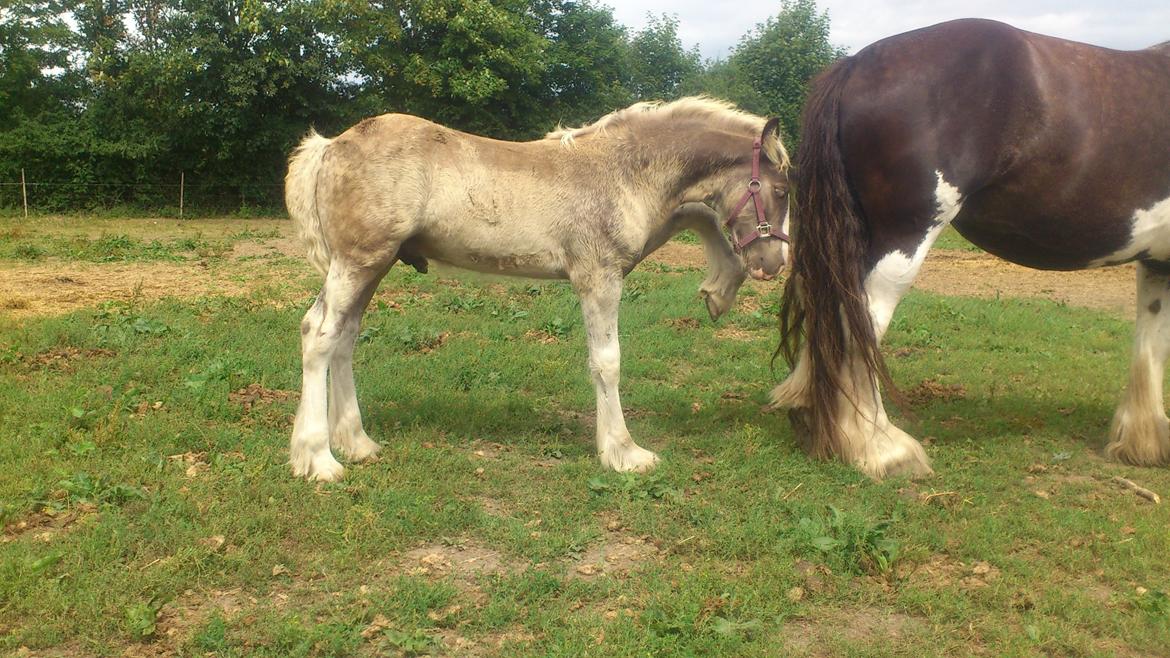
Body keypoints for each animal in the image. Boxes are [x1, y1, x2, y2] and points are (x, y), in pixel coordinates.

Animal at [286, 97, 790, 480]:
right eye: (782, 190)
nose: (772, 264)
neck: (624, 171)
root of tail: (330, 146)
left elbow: (697, 212)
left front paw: (720, 290)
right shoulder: (599, 278)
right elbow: (607, 362)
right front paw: (624, 452)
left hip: (374, 265)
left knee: (344, 335)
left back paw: (357, 443)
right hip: (358, 262)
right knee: (320, 335)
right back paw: (319, 460)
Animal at [776, 17, 1170, 473]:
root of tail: (856, 65)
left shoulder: (1158, 263)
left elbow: (1151, 337)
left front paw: (1144, 440)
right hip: (905, 238)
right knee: (861, 321)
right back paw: (880, 449)